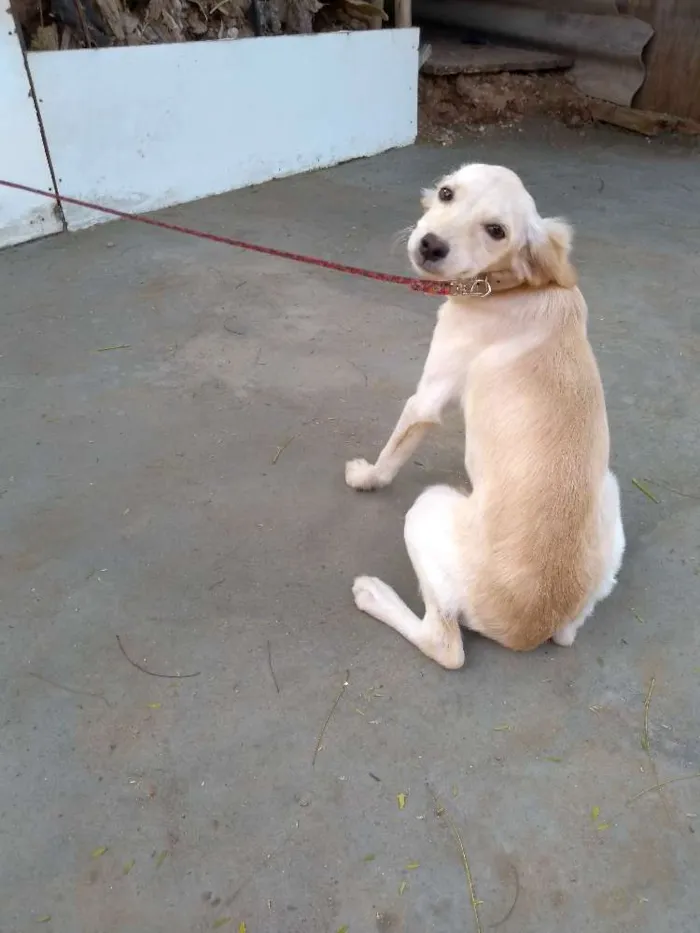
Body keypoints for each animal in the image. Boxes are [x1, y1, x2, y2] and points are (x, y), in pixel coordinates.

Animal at [344, 162, 624, 668]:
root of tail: (529, 629)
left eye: (497, 231)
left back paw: (375, 595)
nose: (430, 244)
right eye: (446, 193)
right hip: (609, 494)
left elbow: (393, 451)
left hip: (426, 508)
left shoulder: (427, 397)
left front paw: (367, 476)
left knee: (445, 644)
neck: (509, 287)